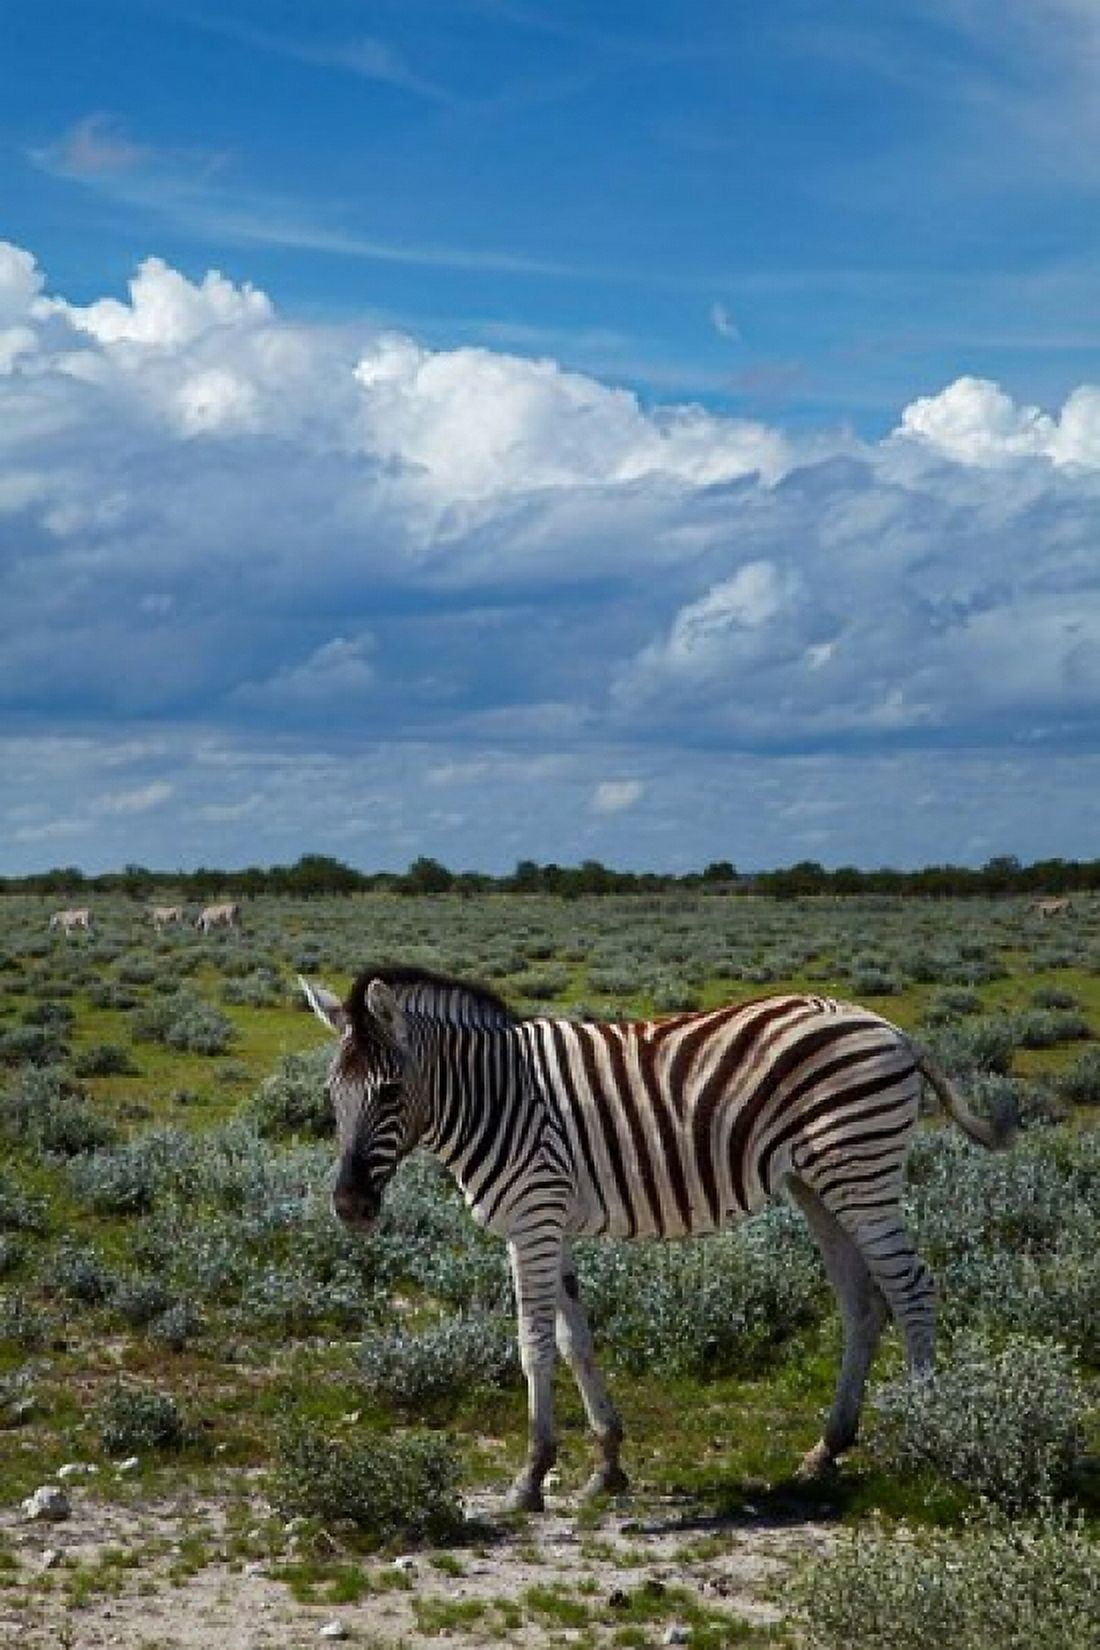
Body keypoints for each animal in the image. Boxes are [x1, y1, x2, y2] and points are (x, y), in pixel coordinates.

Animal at [300, 965, 1013, 1512]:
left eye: (391, 1091)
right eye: (332, 1093)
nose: (350, 1207)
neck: (491, 1096)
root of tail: (893, 1029)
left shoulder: (533, 1218)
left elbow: (534, 1346)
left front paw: (530, 1478)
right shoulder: (552, 1221)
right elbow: (575, 1341)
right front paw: (606, 1466)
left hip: (861, 1172)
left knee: (912, 1291)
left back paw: (925, 1439)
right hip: (818, 1184)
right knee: (863, 1303)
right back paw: (825, 1451)